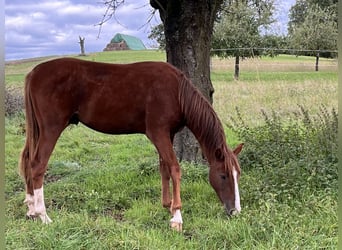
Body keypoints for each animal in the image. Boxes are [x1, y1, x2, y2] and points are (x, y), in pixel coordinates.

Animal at [18, 57, 243, 231]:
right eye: (223, 175)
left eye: (237, 175)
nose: (236, 211)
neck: (176, 92)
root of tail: (34, 72)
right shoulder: (158, 133)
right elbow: (174, 168)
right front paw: (177, 216)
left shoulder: (166, 135)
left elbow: (164, 168)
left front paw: (167, 205)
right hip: (51, 128)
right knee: (37, 165)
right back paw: (43, 215)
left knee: (28, 161)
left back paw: (30, 208)